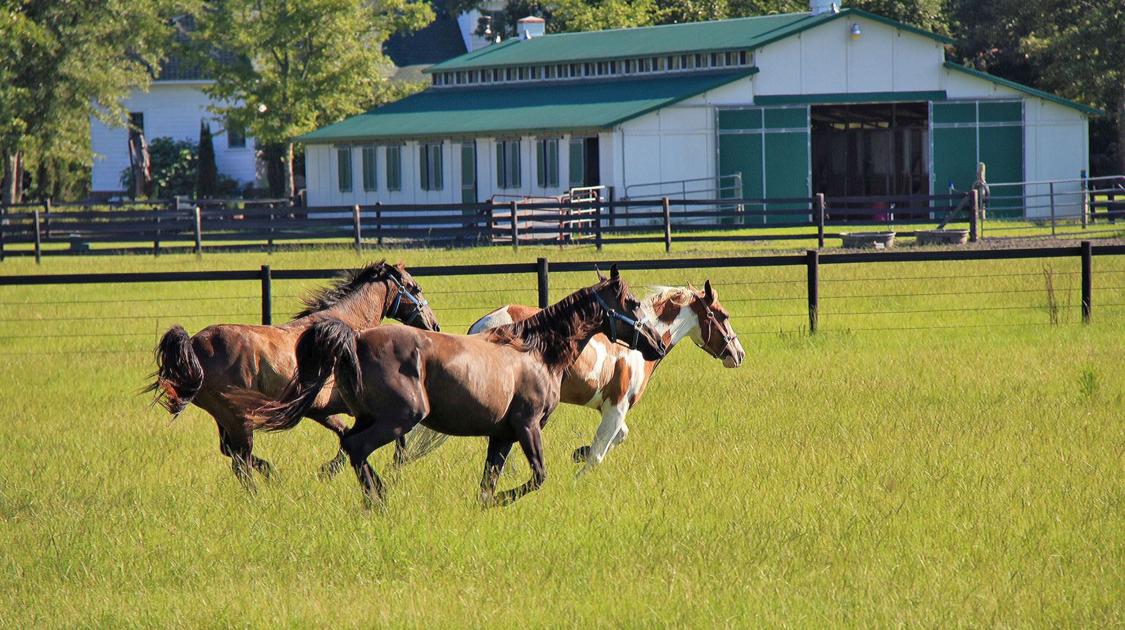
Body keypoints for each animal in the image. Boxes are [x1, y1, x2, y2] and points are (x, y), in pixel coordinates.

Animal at [145, 261, 439, 490]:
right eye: (415, 288)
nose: (434, 325)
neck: (342, 330)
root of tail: (193, 345)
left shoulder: (319, 410)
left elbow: (345, 435)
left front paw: (327, 471)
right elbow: (375, 437)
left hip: (224, 417)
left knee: (233, 453)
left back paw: (272, 474)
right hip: (238, 417)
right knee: (241, 460)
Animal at [256, 266, 666, 508]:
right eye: (631, 302)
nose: (658, 346)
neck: (536, 351)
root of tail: (354, 340)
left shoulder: (501, 435)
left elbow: (488, 482)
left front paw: (484, 504)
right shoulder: (527, 426)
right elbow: (537, 477)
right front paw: (500, 501)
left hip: (369, 418)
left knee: (349, 447)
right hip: (401, 418)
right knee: (357, 449)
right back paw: (380, 502)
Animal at [401, 281, 745, 473]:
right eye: (723, 315)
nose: (738, 353)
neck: (636, 341)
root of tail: (480, 326)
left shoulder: (610, 409)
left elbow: (618, 438)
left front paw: (577, 452)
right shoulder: (616, 408)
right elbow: (598, 455)